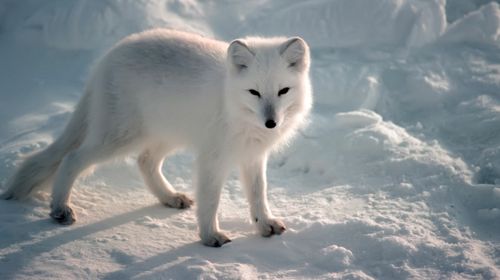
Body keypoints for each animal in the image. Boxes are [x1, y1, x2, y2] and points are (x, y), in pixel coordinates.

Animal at [0, 29, 312, 247]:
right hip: (120, 137)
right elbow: (211, 200)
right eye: (254, 92)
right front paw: (210, 236)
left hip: (164, 135)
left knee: (145, 161)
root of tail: (107, 58)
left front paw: (264, 225)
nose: (271, 123)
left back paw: (170, 197)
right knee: (72, 157)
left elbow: (258, 194)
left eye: (283, 91)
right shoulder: (212, 158)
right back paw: (60, 208)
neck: (233, 106)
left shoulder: (252, 156)